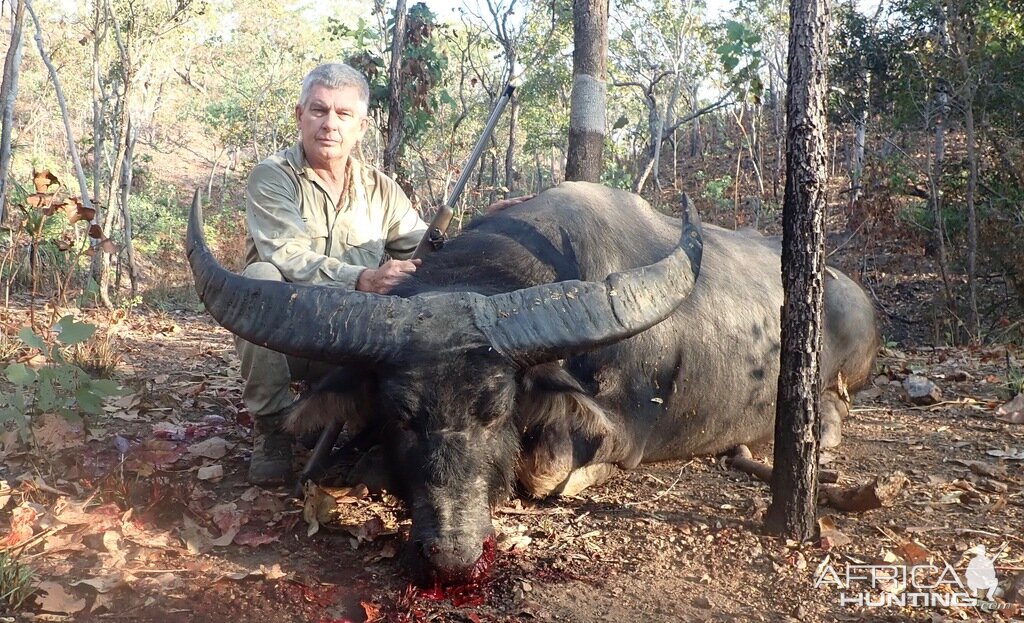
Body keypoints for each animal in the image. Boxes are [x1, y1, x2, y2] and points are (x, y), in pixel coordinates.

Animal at [182, 180, 872, 582]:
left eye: (496, 411)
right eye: (402, 415)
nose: (452, 556)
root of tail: (850, 291)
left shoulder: (622, 429)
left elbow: (546, 474)